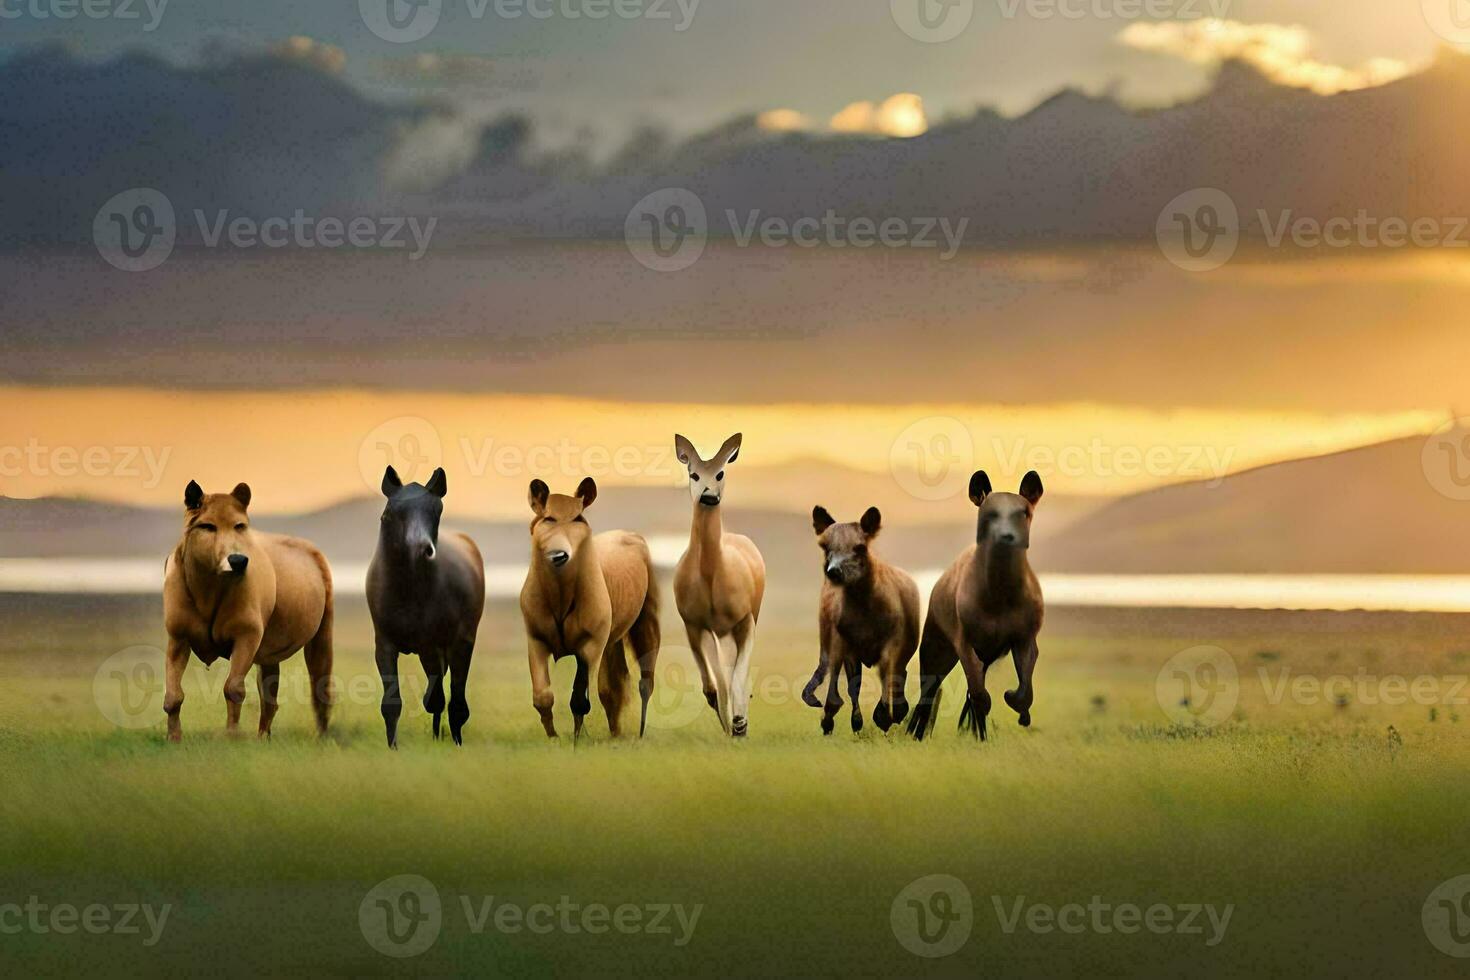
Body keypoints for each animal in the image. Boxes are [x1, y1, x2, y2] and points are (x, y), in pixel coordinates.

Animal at [160, 481, 333, 743]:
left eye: (239, 525)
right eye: (208, 526)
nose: (237, 560)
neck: (208, 587)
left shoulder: (247, 636)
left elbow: (233, 688)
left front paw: (232, 736)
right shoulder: (178, 638)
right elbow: (173, 696)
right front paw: (174, 737)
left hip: (320, 638)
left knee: (319, 688)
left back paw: (322, 737)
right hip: (269, 654)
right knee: (270, 700)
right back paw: (263, 738)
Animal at [514, 478, 658, 740]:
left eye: (577, 518)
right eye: (548, 518)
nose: (559, 555)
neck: (560, 595)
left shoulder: (590, 646)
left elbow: (580, 699)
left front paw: (577, 739)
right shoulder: (537, 641)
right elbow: (542, 696)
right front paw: (553, 737)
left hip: (645, 624)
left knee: (645, 681)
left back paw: (639, 734)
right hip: (611, 642)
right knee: (613, 687)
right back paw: (615, 733)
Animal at [676, 431, 770, 740]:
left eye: (720, 472)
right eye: (693, 474)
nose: (708, 496)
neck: (711, 575)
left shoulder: (744, 619)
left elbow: (738, 676)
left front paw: (740, 722)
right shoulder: (694, 623)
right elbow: (714, 684)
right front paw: (730, 724)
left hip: (745, 619)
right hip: (720, 631)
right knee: (721, 675)